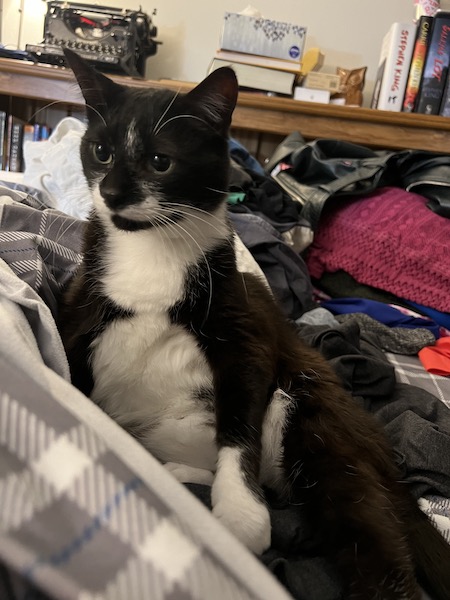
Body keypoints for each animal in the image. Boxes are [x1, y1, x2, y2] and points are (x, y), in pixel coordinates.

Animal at [59, 49, 450, 596]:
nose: (112, 193)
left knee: (367, 529)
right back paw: (174, 475)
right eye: (100, 152)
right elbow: (67, 365)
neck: (150, 250)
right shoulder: (80, 306)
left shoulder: (244, 329)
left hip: (316, 417)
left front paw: (240, 514)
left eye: (160, 161)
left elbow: (239, 421)